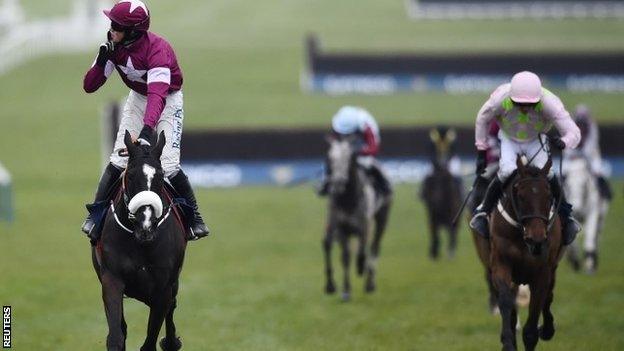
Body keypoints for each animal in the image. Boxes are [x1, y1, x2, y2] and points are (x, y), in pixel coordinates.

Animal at [91, 132, 186, 351]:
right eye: (131, 175)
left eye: (160, 175)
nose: (146, 225)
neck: (140, 240)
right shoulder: (111, 279)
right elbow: (116, 337)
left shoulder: (163, 289)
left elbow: (150, 342)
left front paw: (169, 341)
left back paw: (171, 341)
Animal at [322, 135, 390, 302]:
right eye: (330, 158)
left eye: (348, 158)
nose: (337, 182)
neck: (348, 199)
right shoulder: (341, 228)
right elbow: (346, 257)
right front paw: (345, 291)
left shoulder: (364, 226)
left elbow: (362, 253)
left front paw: (360, 267)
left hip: (382, 218)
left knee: (374, 247)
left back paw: (370, 283)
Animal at [492, 156, 564, 351]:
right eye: (521, 196)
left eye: (549, 196)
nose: (536, 239)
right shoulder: (501, 263)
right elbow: (505, 300)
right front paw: (507, 342)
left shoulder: (543, 273)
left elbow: (532, 325)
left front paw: (541, 330)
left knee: (549, 296)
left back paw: (547, 329)